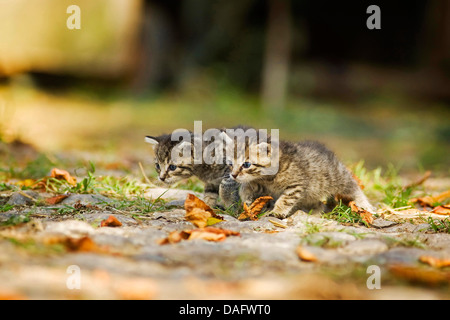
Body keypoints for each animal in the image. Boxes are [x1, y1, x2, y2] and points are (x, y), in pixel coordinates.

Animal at [221, 131, 372, 219]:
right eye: (230, 163)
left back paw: (365, 205)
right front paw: (247, 199)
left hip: (337, 177)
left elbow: (285, 199)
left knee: (353, 186)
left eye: (246, 164)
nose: (233, 175)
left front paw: (277, 211)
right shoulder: (262, 184)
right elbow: (247, 186)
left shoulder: (296, 184)